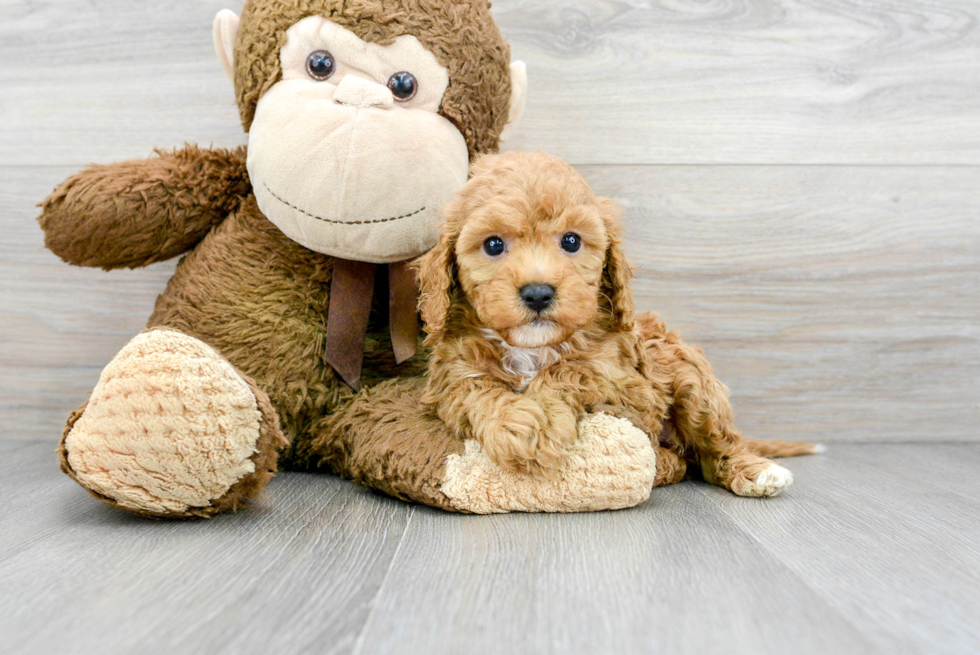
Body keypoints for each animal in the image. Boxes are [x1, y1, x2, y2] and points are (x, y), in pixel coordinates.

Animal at [416, 152, 820, 498]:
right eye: (493, 245)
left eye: (571, 241)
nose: (537, 293)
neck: (532, 347)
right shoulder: (450, 378)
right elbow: (478, 387)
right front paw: (519, 425)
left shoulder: (629, 385)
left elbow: (572, 369)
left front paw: (544, 417)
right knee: (683, 461)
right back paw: (665, 465)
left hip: (692, 380)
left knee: (716, 447)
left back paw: (756, 471)